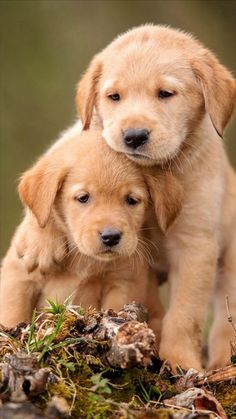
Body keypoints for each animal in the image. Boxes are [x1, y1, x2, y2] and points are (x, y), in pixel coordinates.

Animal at [0, 127, 183, 338]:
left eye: (131, 200)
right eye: (83, 198)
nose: (111, 237)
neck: (83, 259)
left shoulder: (123, 283)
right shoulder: (18, 279)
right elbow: (13, 315)